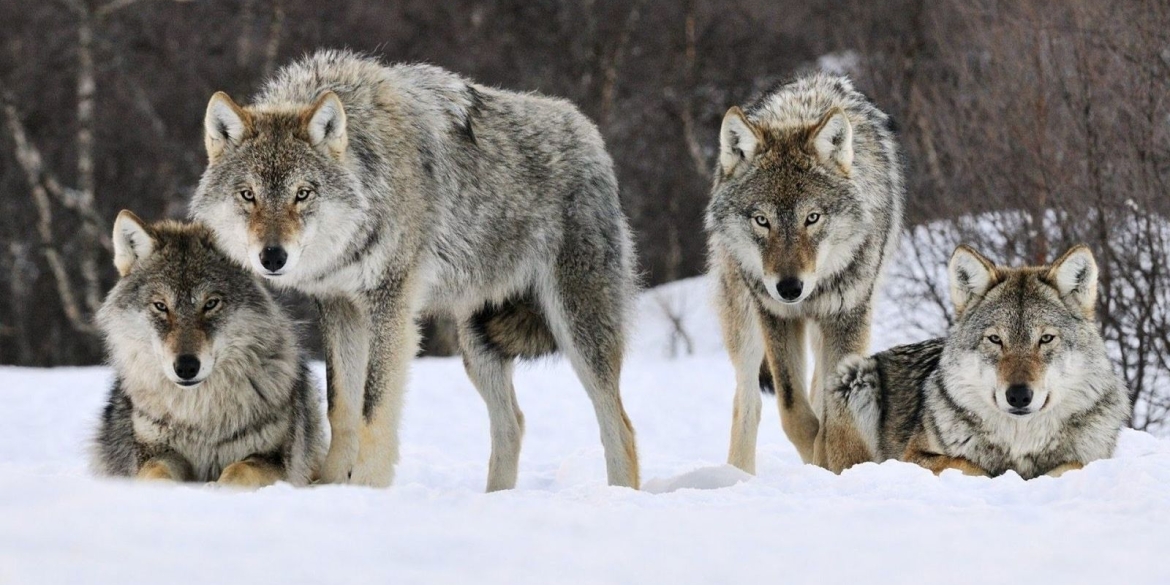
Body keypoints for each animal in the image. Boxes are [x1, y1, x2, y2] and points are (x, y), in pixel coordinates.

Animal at [90, 212, 325, 486]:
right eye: (161, 306)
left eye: (211, 303)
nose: (186, 367)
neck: (199, 417)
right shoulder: (156, 452)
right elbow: (156, 473)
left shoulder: (273, 459)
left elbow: (239, 470)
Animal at [190, 49, 641, 489]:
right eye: (248, 195)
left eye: (302, 194)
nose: (272, 257)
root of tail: (589, 133)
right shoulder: (339, 307)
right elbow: (341, 407)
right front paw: (331, 485)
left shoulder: (390, 306)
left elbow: (373, 410)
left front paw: (366, 489)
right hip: (477, 344)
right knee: (512, 423)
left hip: (578, 329)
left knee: (620, 426)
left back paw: (618, 495)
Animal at [702, 74, 903, 475]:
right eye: (762, 220)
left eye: (812, 218)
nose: (790, 288)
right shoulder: (776, 315)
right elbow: (793, 410)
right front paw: (817, 457)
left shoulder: (848, 316)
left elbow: (832, 410)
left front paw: (836, 462)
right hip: (744, 321)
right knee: (748, 400)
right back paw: (738, 475)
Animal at [814, 244, 1132, 477]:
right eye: (995, 339)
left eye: (1045, 339)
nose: (1018, 395)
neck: (1020, 443)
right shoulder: (912, 456)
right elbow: (970, 465)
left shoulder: (1091, 458)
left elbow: (1071, 466)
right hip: (854, 376)